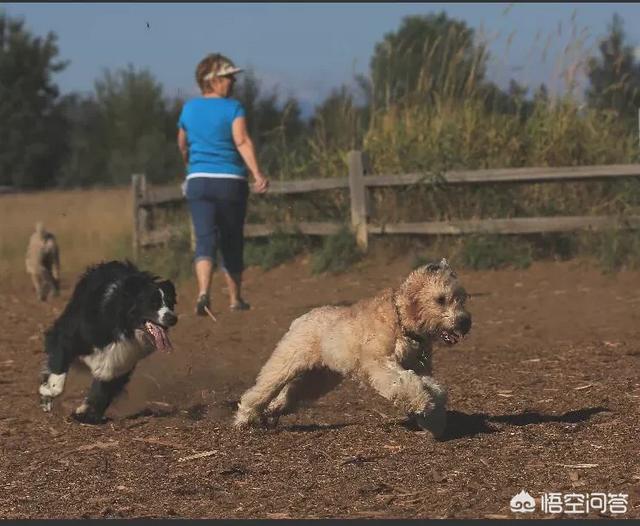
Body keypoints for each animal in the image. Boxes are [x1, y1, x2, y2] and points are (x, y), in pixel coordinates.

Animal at [38, 262, 178, 426]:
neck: (124, 326)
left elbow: (103, 390)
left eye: (170, 303)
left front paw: (85, 413)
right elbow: (58, 377)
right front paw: (46, 392)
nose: (173, 318)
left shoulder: (122, 360)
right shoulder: (69, 337)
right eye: (153, 303)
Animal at [234, 258, 470, 438]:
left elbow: (435, 389)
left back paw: (270, 414)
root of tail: (302, 318)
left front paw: (434, 421)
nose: (464, 322)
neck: (402, 322)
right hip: (285, 365)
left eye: (462, 298)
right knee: (258, 392)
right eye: (440, 299)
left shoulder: (420, 369)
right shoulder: (381, 365)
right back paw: (244, 419)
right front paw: (423, 404)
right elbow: (407, 384)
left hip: (317, 379)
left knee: (286, 397)